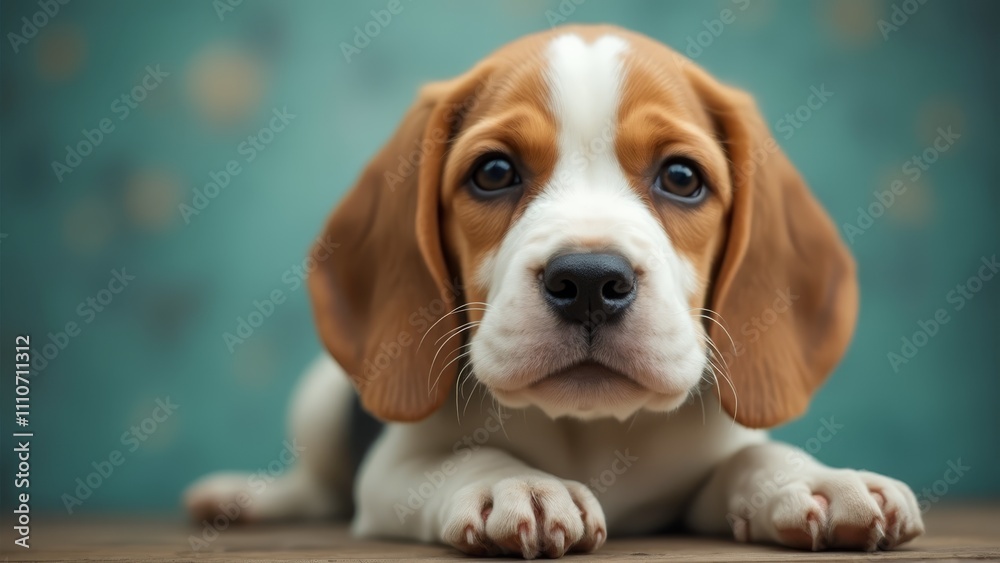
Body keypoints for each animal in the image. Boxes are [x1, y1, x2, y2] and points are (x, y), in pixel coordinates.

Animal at [186, 24, 920, 556]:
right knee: (316, 487)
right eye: (494, 172)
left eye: (682, 177)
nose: (590, 281)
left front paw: (816, 480)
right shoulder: (394, 468)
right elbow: (468, 455)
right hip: (316, 401)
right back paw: (245, 496)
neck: (587, 428)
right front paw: (518, 486)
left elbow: (753, 457)